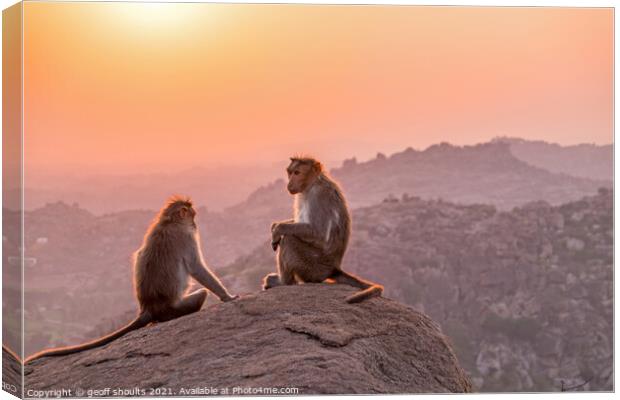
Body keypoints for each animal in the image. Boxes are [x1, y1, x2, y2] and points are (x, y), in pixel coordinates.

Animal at [25, 195, 236, 364]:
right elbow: (196, 267)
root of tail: (148, 308)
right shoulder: (186, 237)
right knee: (201, 294)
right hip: (175, 308)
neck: (169, 222)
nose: (195, 225)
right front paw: (227, 297)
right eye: (193, 216)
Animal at [262, 156, 382, 304]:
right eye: (290, 172)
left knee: (289, 240)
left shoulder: (318, 195)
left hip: (313, 268)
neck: (313, 183)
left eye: (297, 172)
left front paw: (278, 229)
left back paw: (283, 282)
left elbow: (317, 232)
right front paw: (274, 226)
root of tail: (333, 269)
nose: (289, 184)